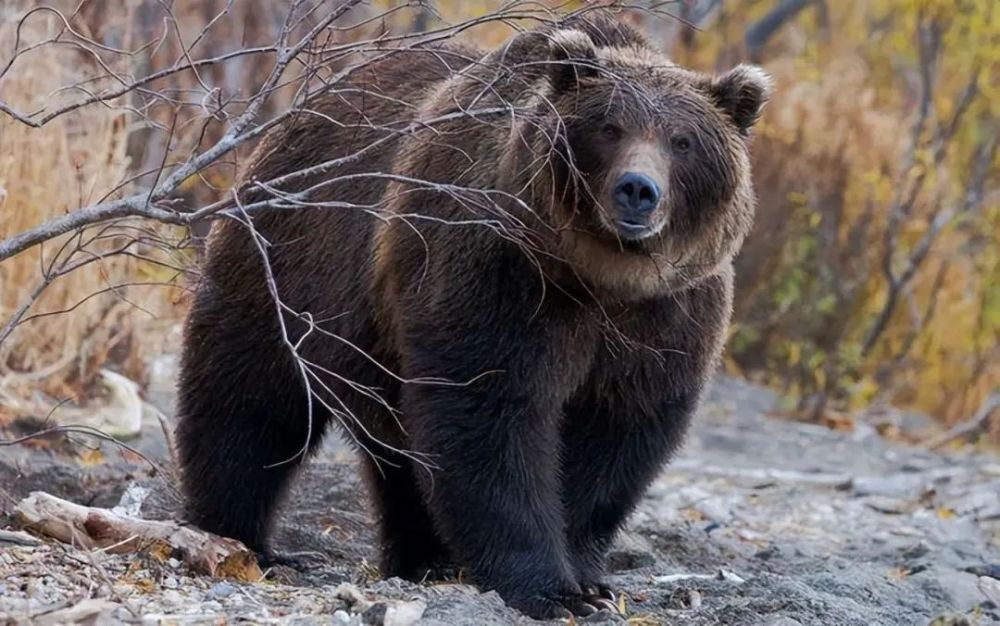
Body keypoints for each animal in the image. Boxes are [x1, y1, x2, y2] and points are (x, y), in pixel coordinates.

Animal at [176, 11, 772, 620]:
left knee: (397, 452)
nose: (637, 190)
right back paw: (244, 538)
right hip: (291, 262)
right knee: (252, 397)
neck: (599, 278)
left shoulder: (667, 316)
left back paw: (424, 558)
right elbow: (491, 415)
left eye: (682, 140)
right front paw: (549, 589)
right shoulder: (500, 273)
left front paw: (588, 581)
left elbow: (617, 432)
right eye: (609, 127)